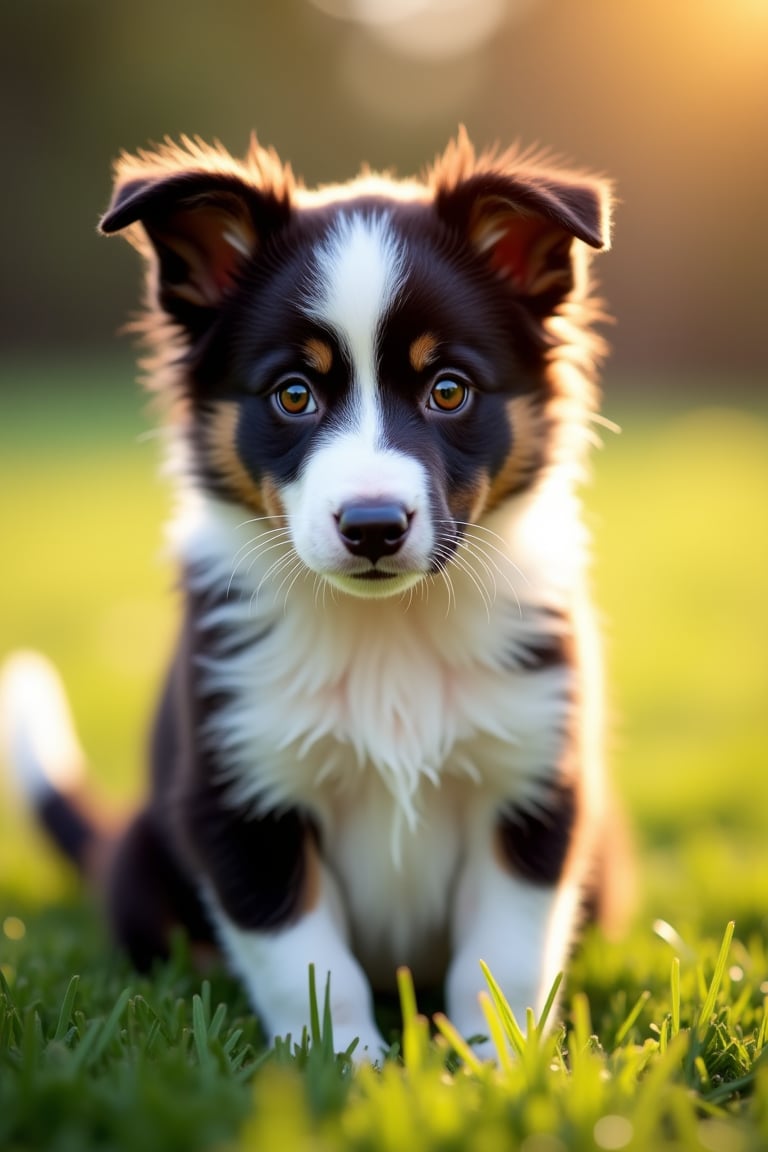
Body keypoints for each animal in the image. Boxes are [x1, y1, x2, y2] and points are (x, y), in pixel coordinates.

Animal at [1, 132, 617, 1059]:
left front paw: (496, 1064)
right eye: (294, 394)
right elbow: (307, 964)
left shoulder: (534, 782)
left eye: (449, 389)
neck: (387, 630)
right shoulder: (241, 793)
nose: (372, 526)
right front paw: (346, 1066)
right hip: (147, 860)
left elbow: (503, 957)